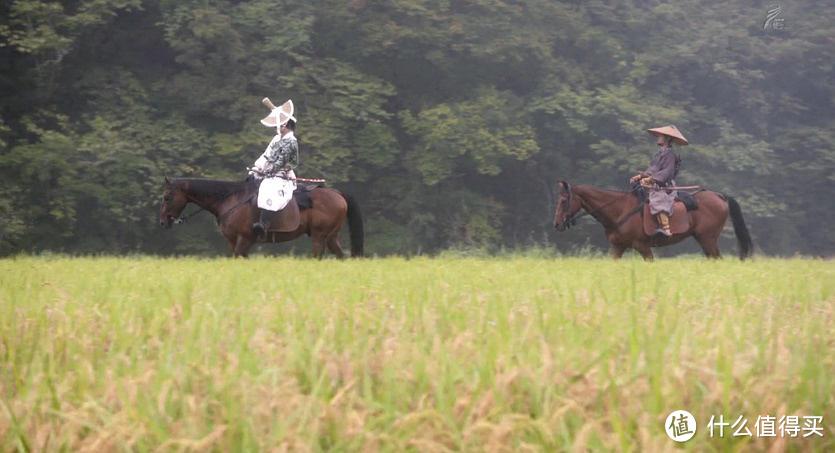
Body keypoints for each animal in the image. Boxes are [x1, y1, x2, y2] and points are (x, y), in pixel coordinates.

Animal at [160, 178, 362, 260]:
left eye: (167, 197)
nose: (163, 221)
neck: (231, 200)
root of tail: (337, 194)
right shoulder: (233, 241)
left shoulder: (244, 239)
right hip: (330, 236)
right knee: (339, 255)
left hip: (320, 236)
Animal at [552, 179, 756, 258]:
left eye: (563, 200)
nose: (557, 224)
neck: (619, 210)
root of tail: (720, 196)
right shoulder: (618, 246)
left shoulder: (642, 246)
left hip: (708, 239)